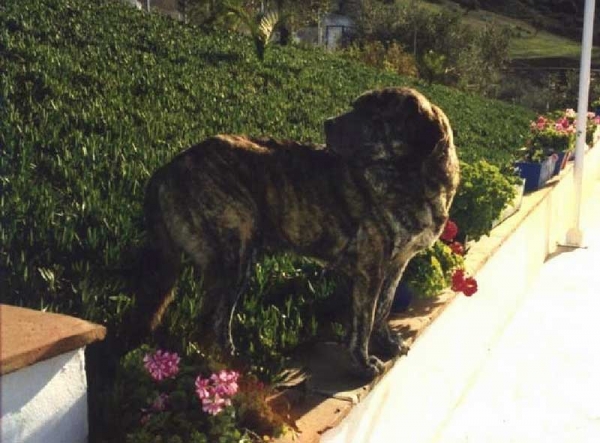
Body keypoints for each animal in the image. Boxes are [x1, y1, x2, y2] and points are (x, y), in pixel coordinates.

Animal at [136, 88, 460, 380]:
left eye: (374, 116)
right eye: (358, 107)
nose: (328, 123)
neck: (417, 182)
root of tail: (170, 166)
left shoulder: (396, 266)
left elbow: (384, 308)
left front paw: (388, 342)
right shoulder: (371, 270)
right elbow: (364, 322)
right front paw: (363, 364)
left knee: (212, 320)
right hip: (234, 256)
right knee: (210, 322)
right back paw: (226, 366)